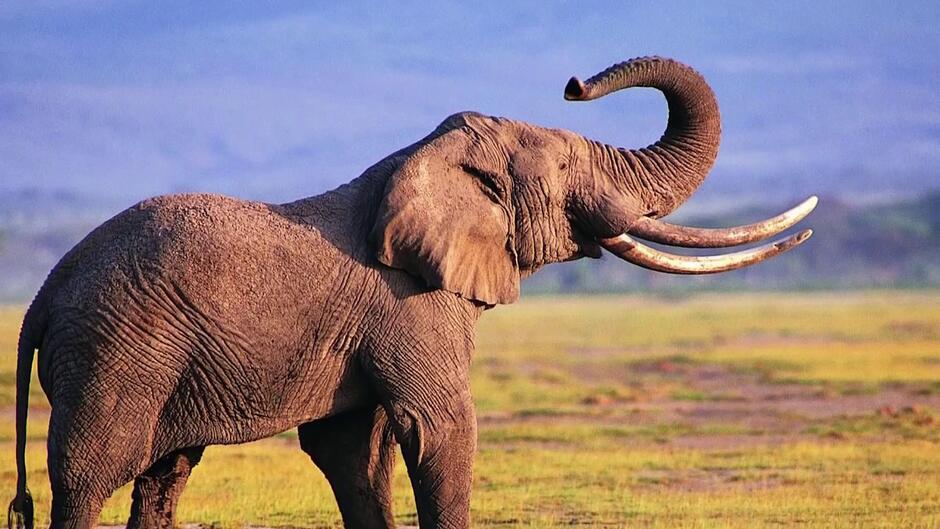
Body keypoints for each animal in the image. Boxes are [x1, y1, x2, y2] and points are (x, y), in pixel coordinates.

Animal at [7, 56, 815, 529]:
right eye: (562, 169)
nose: (575, 83)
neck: (422, 157)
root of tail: (42, 297)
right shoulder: (411, 304)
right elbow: (439, 430)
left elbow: (352, 454)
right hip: (114, 352)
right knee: (88, 476)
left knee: (163, 475)